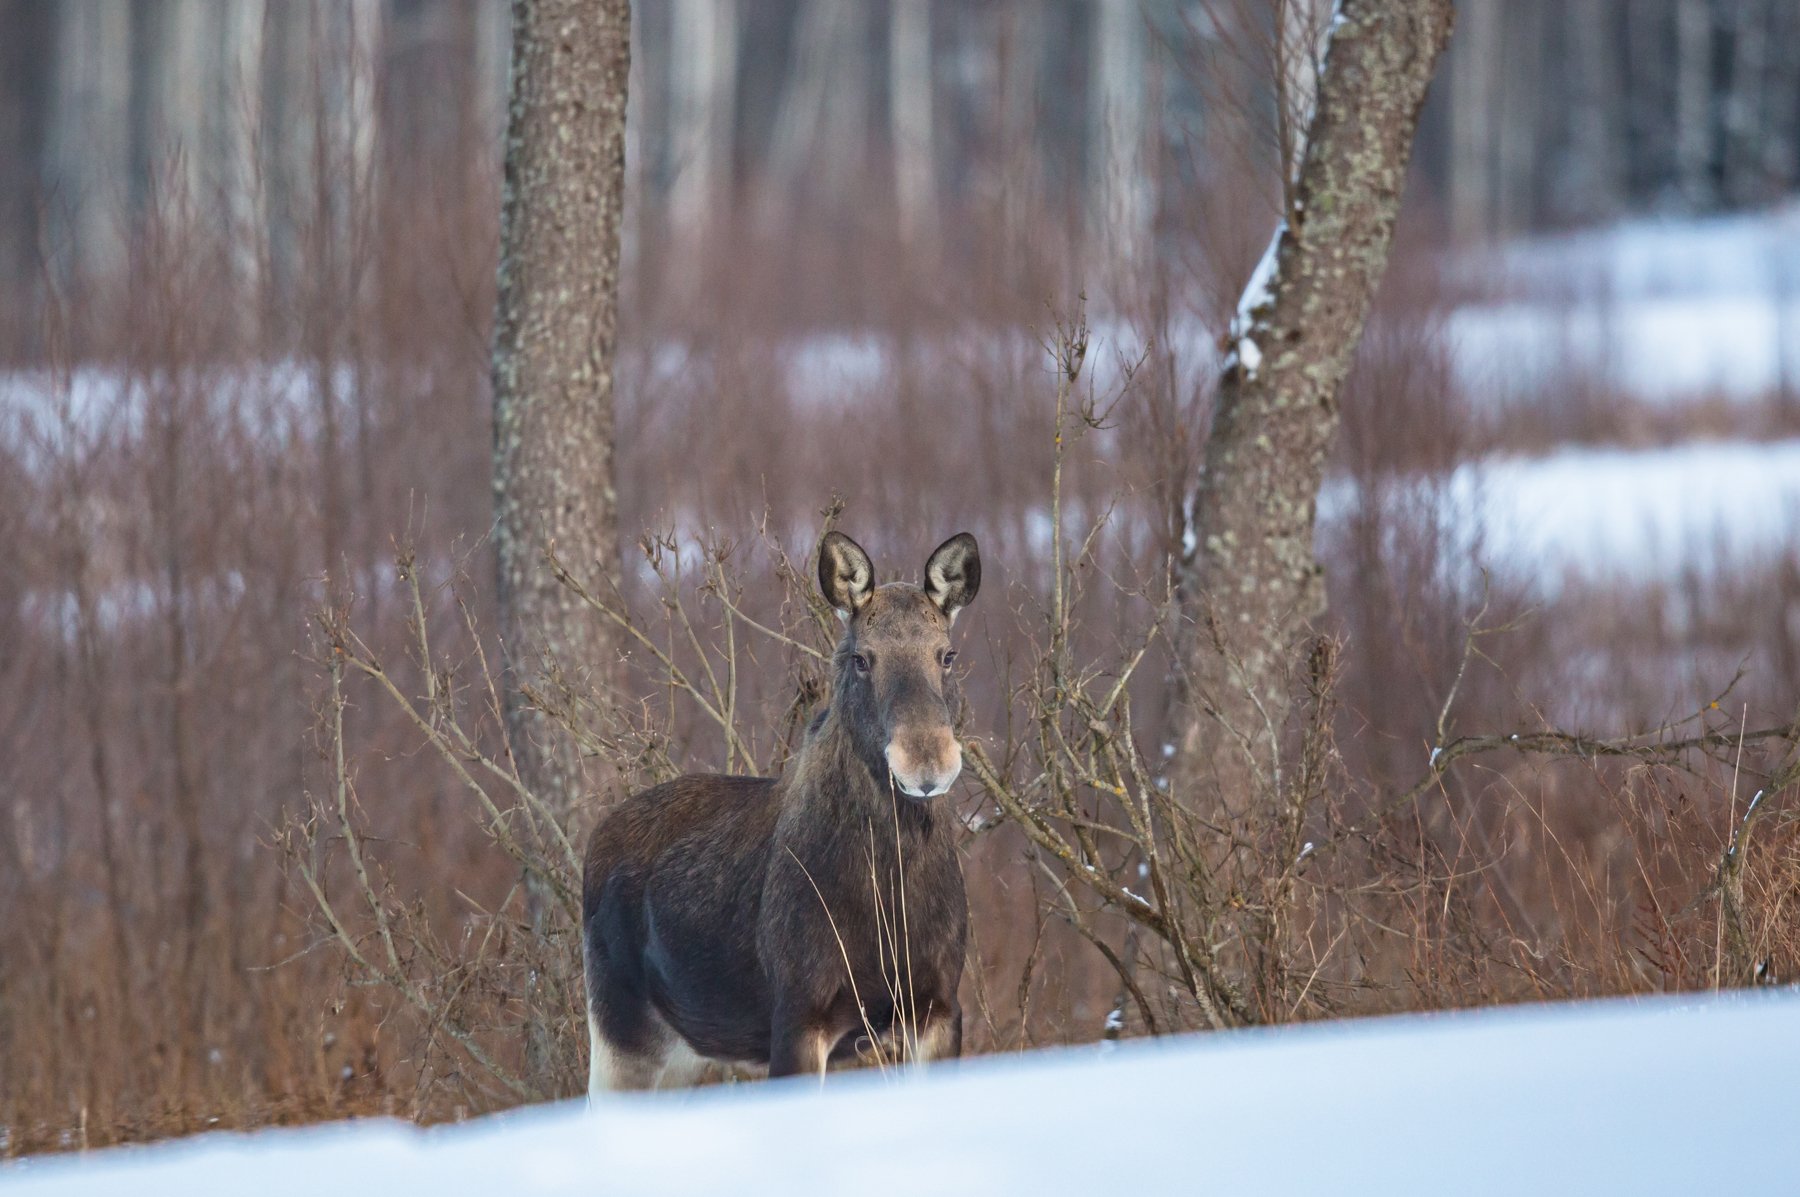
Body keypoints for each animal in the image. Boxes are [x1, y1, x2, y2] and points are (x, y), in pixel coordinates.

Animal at [579, 529, 979, 1087]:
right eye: (861, 658)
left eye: (947, 654)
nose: (927, 762)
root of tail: (592, 847)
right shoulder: (799, 1013)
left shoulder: (938, 1007)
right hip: (618, 1032)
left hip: (685, 1054)